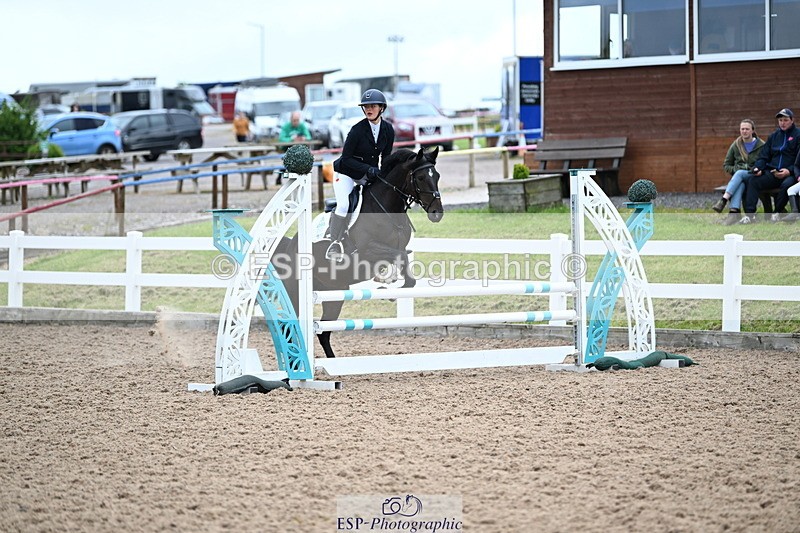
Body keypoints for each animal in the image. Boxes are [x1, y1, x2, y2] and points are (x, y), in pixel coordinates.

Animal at [274, 146, 444, 358]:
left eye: (437, 175)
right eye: (420, 178)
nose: (437, 213)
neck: (386, 209)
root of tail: (290, 246)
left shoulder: (395, 248)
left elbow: (406, 270)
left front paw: (389, 286)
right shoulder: (366, 250)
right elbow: (399, 256)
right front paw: (386, 285)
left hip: (334, 294)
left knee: (323, 333)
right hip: (296, 293)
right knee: (291, 329)